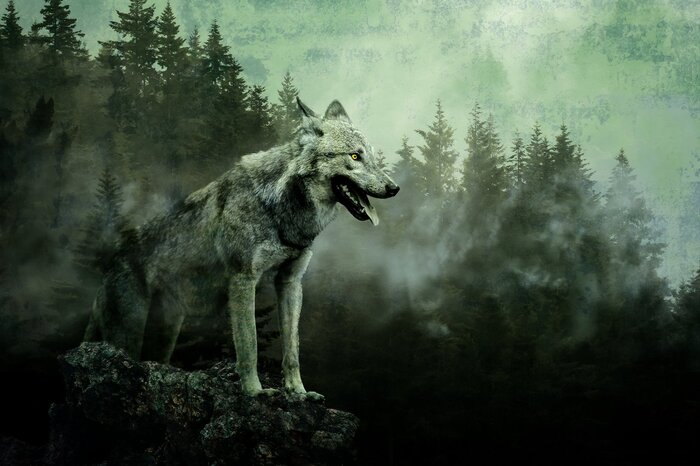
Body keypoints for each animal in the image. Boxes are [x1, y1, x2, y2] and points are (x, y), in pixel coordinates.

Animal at [84, 98, 399, 399]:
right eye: (355, 156)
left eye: (372, 156)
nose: (394, 188)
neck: (280, 209)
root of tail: (113, 260)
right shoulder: (243, 279)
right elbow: (249, 345)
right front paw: (254, 391)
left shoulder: (290, 282)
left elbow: (292, 349)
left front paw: (298, 392)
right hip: (127, 335)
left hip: (165, 336)